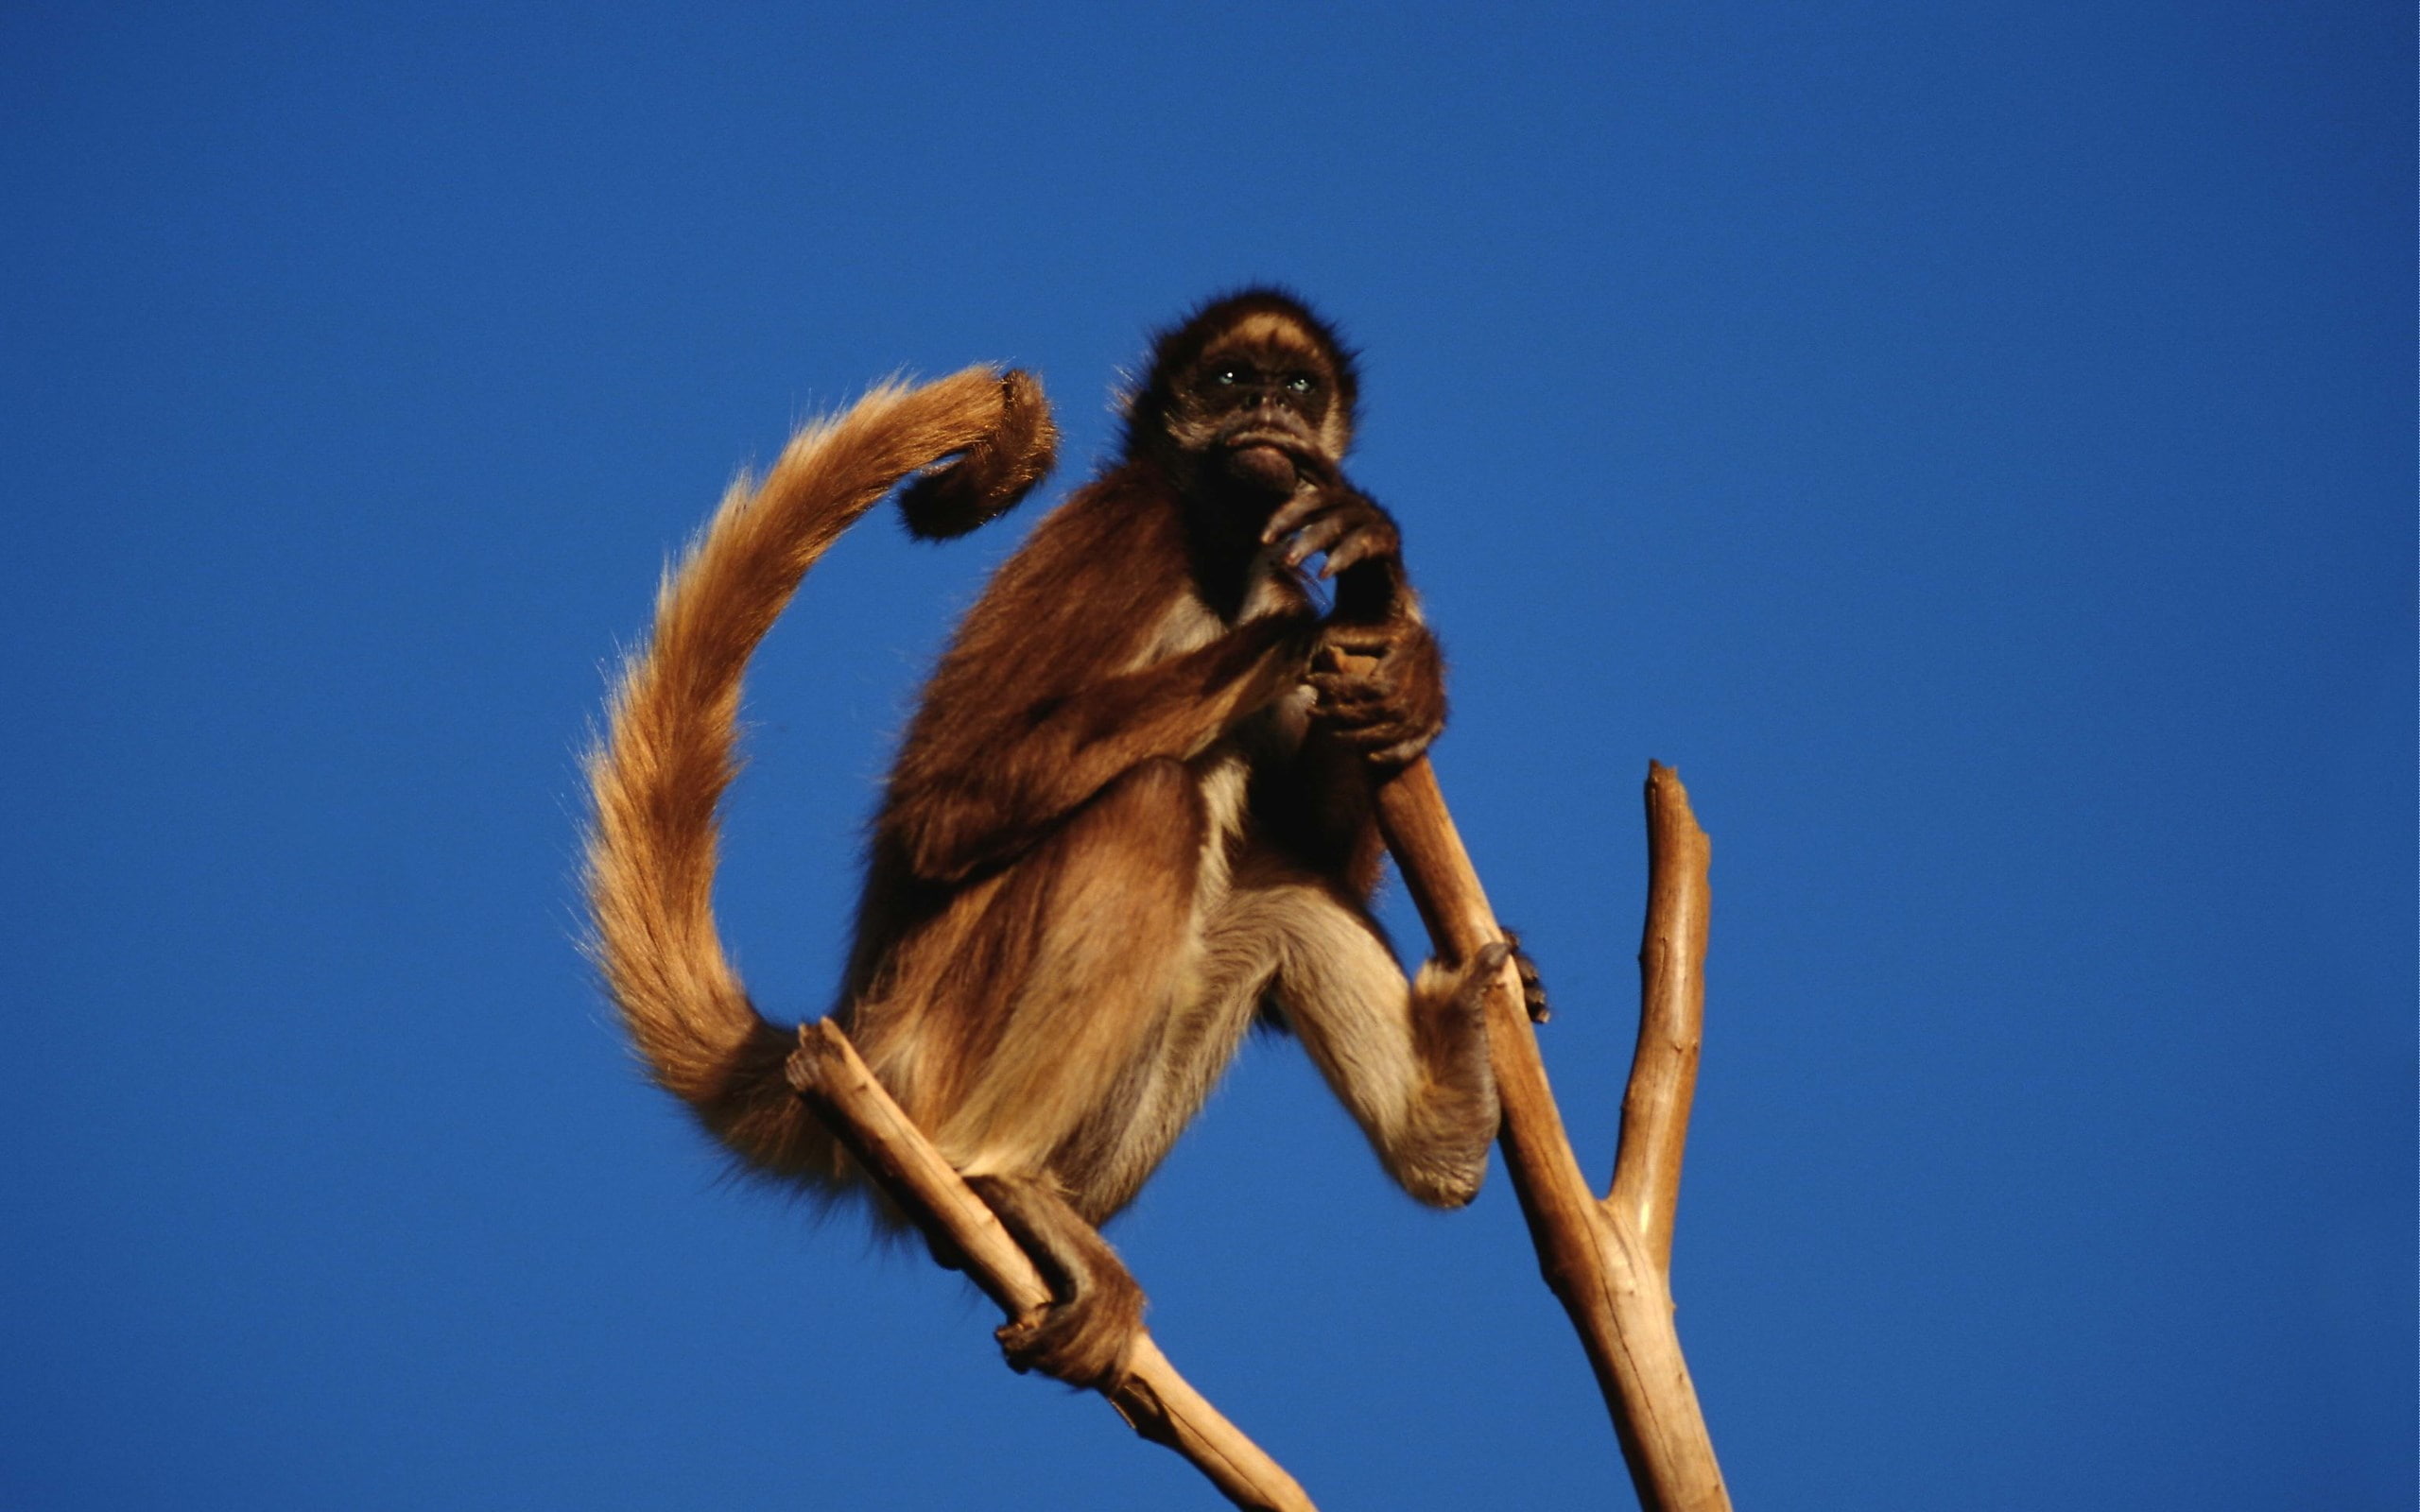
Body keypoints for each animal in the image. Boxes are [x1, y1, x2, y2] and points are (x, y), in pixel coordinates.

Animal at [587, 290, 1542, 1393]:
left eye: (1298, 387)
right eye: (1229, 381)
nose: (1265, 410)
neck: (1218, 553)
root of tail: (864, 1027)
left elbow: (1318, 850)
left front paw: (1399, 643)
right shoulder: (1127, 528)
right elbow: (943, 808)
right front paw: (1311, 630)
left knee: (1280, 885)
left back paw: (1450, 1118)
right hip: (946, 1044)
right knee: (1152, 801)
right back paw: (1005, 1183)